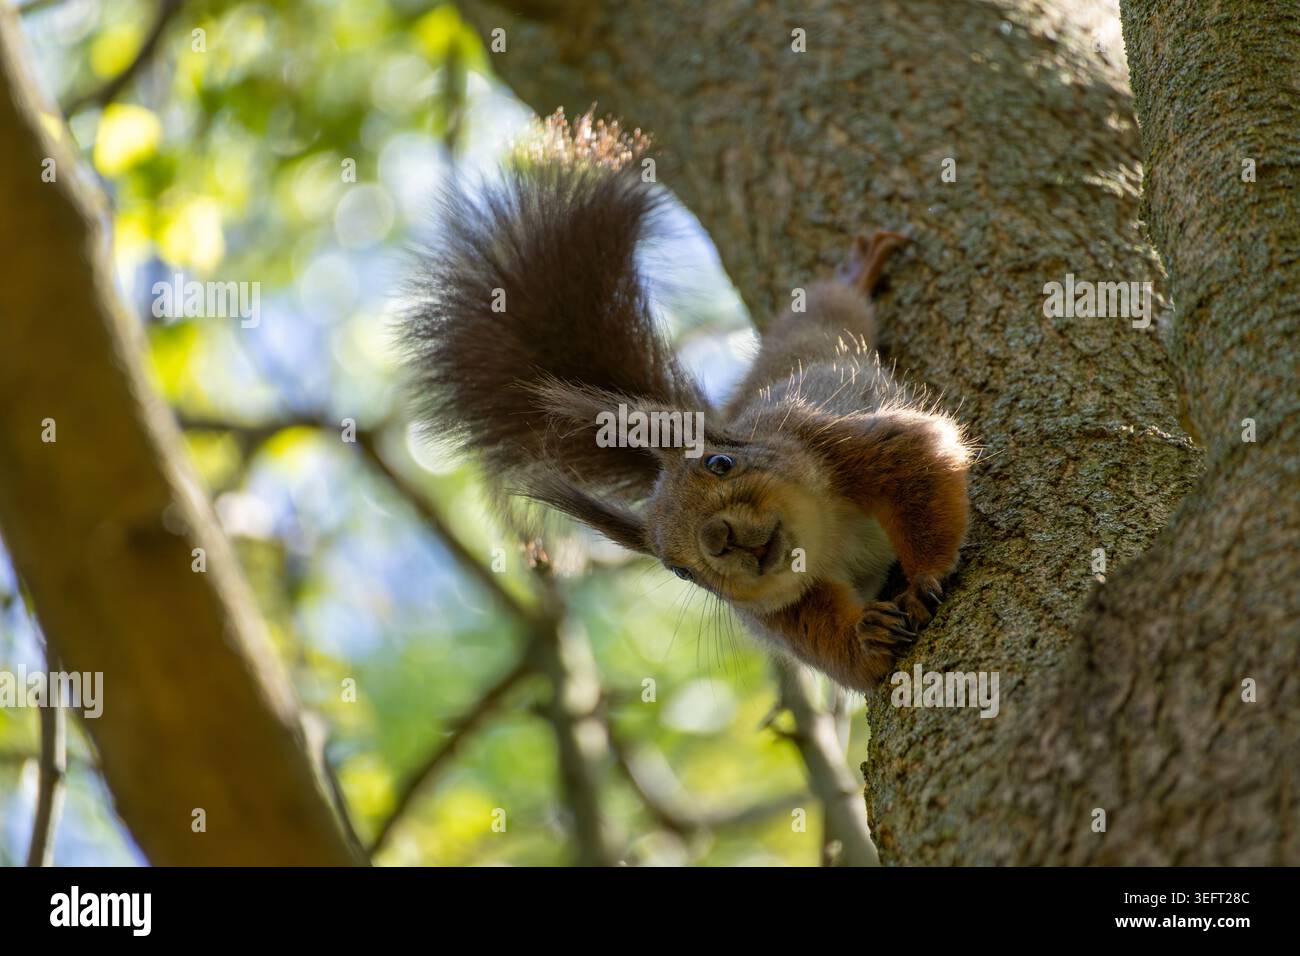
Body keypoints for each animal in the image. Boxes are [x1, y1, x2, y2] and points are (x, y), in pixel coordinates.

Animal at [403, 109, 974, 692]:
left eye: (720, 463)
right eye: (678, 570)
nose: (717, 539)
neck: (828, 536)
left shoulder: (831, 438)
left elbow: (919, 467)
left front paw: (922, 578)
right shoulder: (781, 613)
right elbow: (834, 651)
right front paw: (867, 637)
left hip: (817, 329)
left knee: (831, 305)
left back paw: (855, 274)